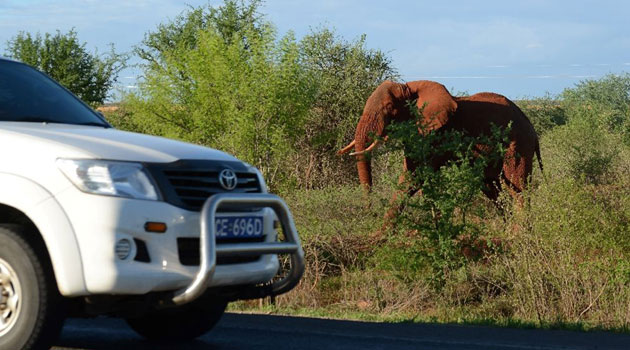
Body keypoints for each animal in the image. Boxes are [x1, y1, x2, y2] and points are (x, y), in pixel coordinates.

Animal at [340, 79, 544, 205]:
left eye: (389, 107)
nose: (369, 210)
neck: (410, 87)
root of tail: (533, 130)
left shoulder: (434, 134)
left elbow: (414, 177)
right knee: (492, 188)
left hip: (518, 144)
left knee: (518, 189)